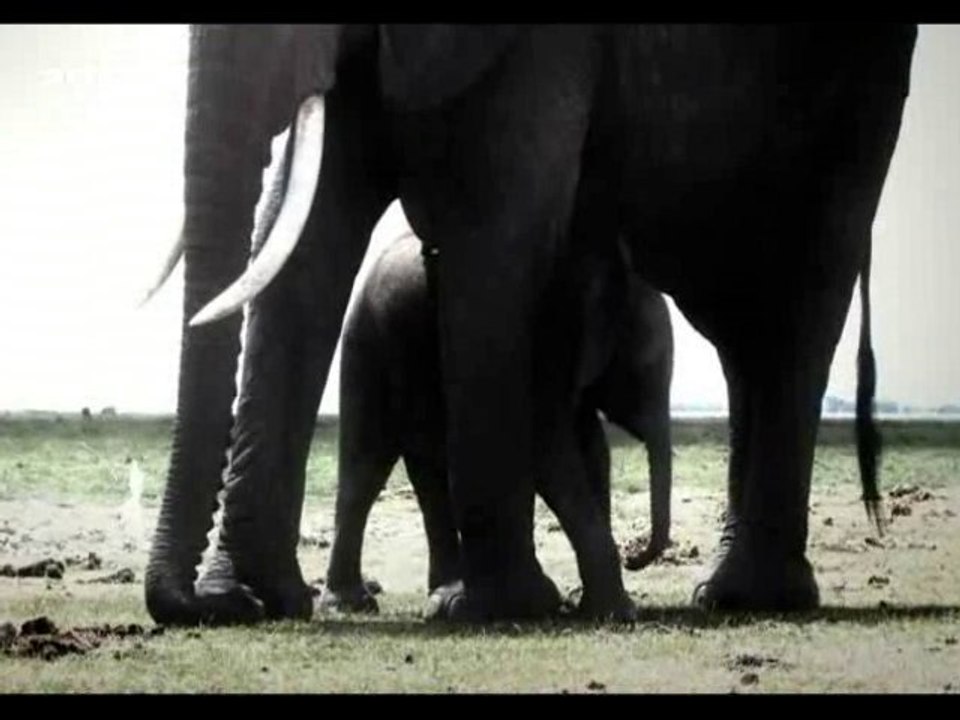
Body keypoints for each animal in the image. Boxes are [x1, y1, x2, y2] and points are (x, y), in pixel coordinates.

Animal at [318, 228, 673, 615]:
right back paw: (354, 604)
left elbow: (592, 452)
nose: (635, 555)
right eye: (644, 369)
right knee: (365, 469)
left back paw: (446, 595)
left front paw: (591, 604)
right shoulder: (545, 341)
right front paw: (615, 613)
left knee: (429, 473)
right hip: (366, 344)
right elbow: (550, 456)